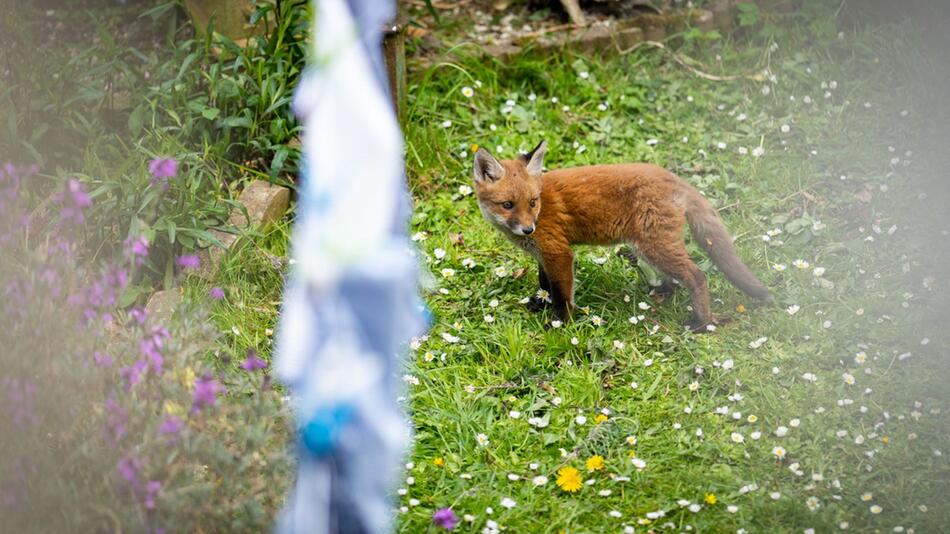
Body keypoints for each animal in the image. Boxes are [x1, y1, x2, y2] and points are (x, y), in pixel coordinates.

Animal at [472, 140, 768, 332]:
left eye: (532, 202)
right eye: (508, 205)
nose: (528, 229)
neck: (542, 210)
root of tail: (674, 177)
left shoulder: (559, 252)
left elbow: (562, 295)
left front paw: (560, 324)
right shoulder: (543, 254)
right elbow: (545, 284)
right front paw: (542, 304)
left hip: (654, 247)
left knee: (697, 276)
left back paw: (702, 323)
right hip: (653, 247)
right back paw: (663, 291)